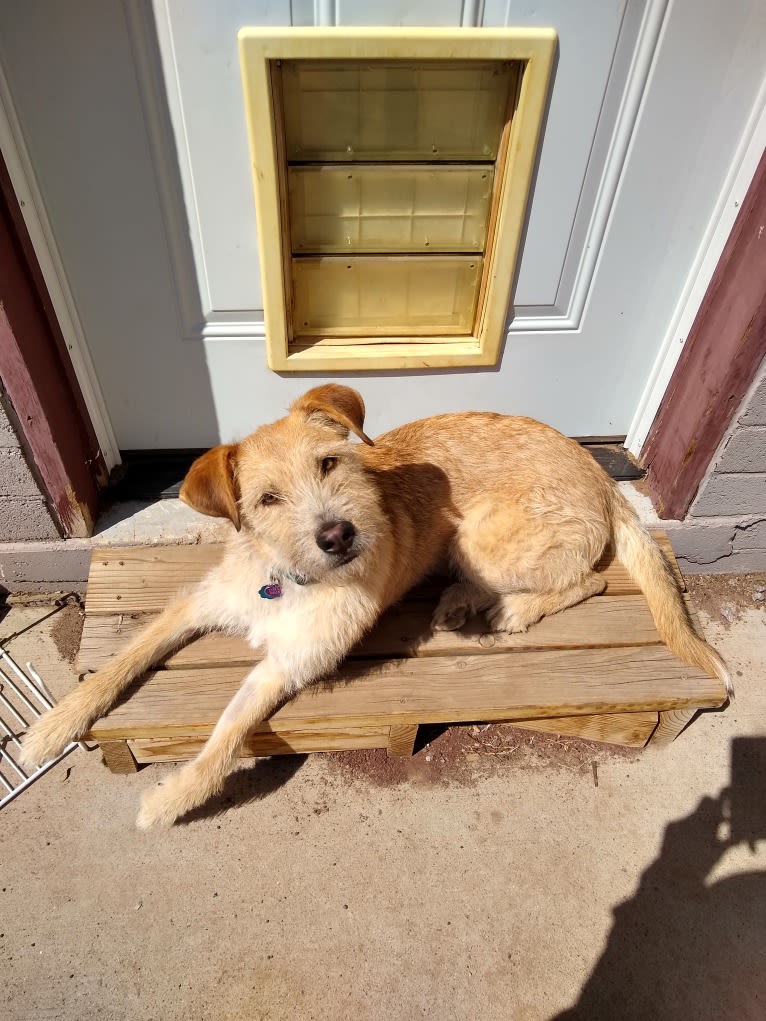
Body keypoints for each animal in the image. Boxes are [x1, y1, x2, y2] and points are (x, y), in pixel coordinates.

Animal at [20, 385, 731, 824]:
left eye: (330, 462)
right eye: (268, 499)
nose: (338, 534)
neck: (286, 576)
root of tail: (603, 476)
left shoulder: (287, 665)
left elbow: (223, 739)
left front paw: (169, 801)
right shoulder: (196, 603)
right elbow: (123, 660)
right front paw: (53, 728)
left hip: (486, 538)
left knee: (593, 580)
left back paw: (508, 608)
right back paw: (460, 600)